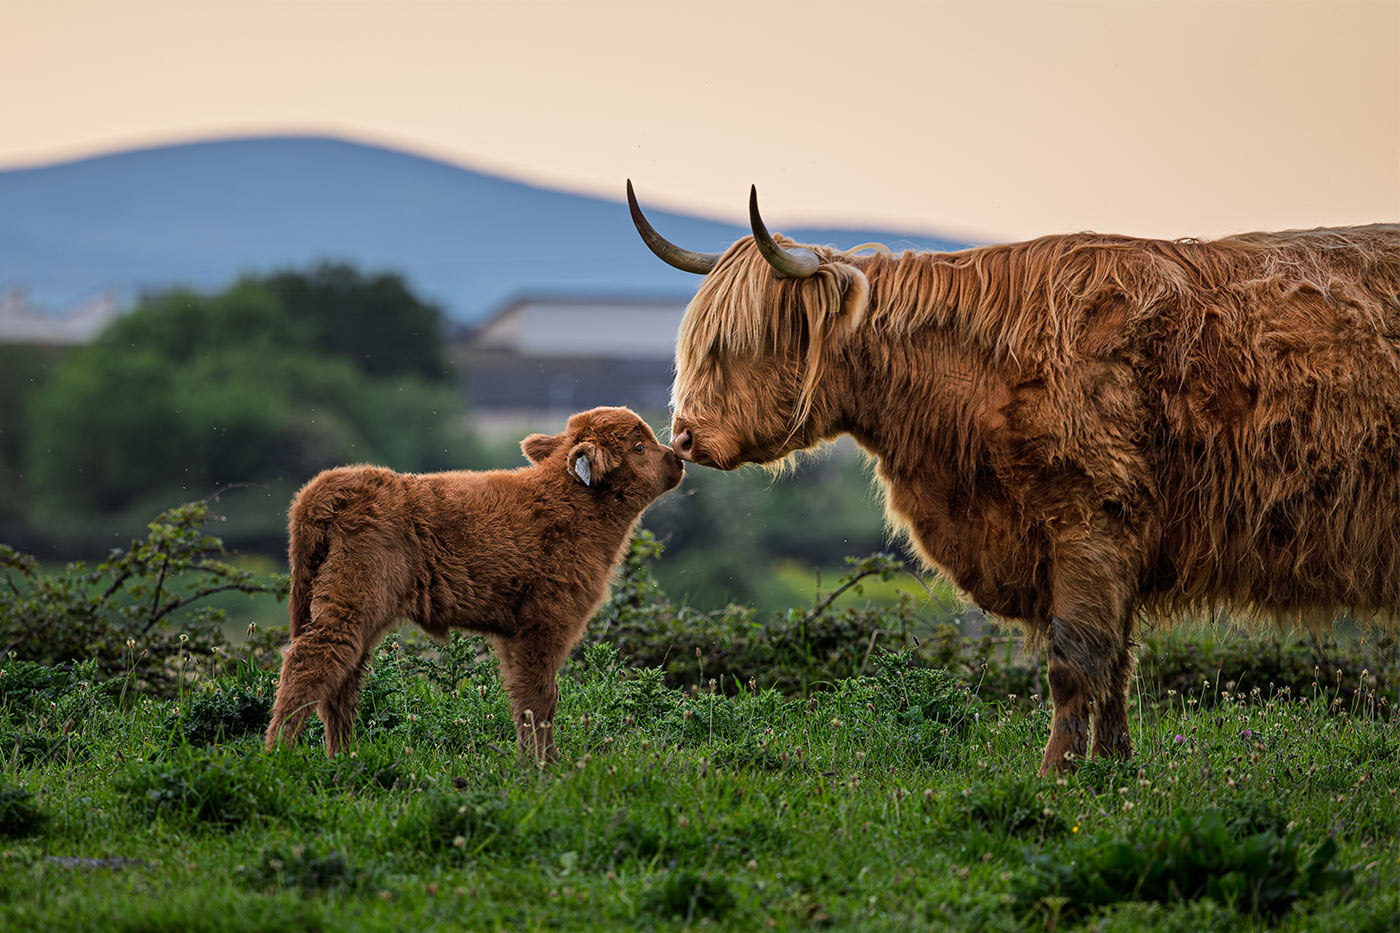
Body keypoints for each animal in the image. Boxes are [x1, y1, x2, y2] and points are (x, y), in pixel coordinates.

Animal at [265, 406, 684, 763]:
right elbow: (539, 697)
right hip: (351, 602)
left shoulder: (518, 635)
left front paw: (543, 761)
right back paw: (278, 756)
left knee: (343, 680)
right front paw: (541, 767)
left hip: (357, 613)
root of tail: (338, 484)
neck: (572, 502)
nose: (677, 459)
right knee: (309, 663)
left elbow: (535, 698)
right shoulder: (543, 627)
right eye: (639, 446)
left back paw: (344, 758)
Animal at [629, 180, 1400, 775]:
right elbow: (1116, 662)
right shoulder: (1106, 544)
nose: (685, 435)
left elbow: (1075, 661)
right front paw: (1114, 767)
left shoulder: (1092, 521)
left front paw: (1057, 772)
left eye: (742, 343)